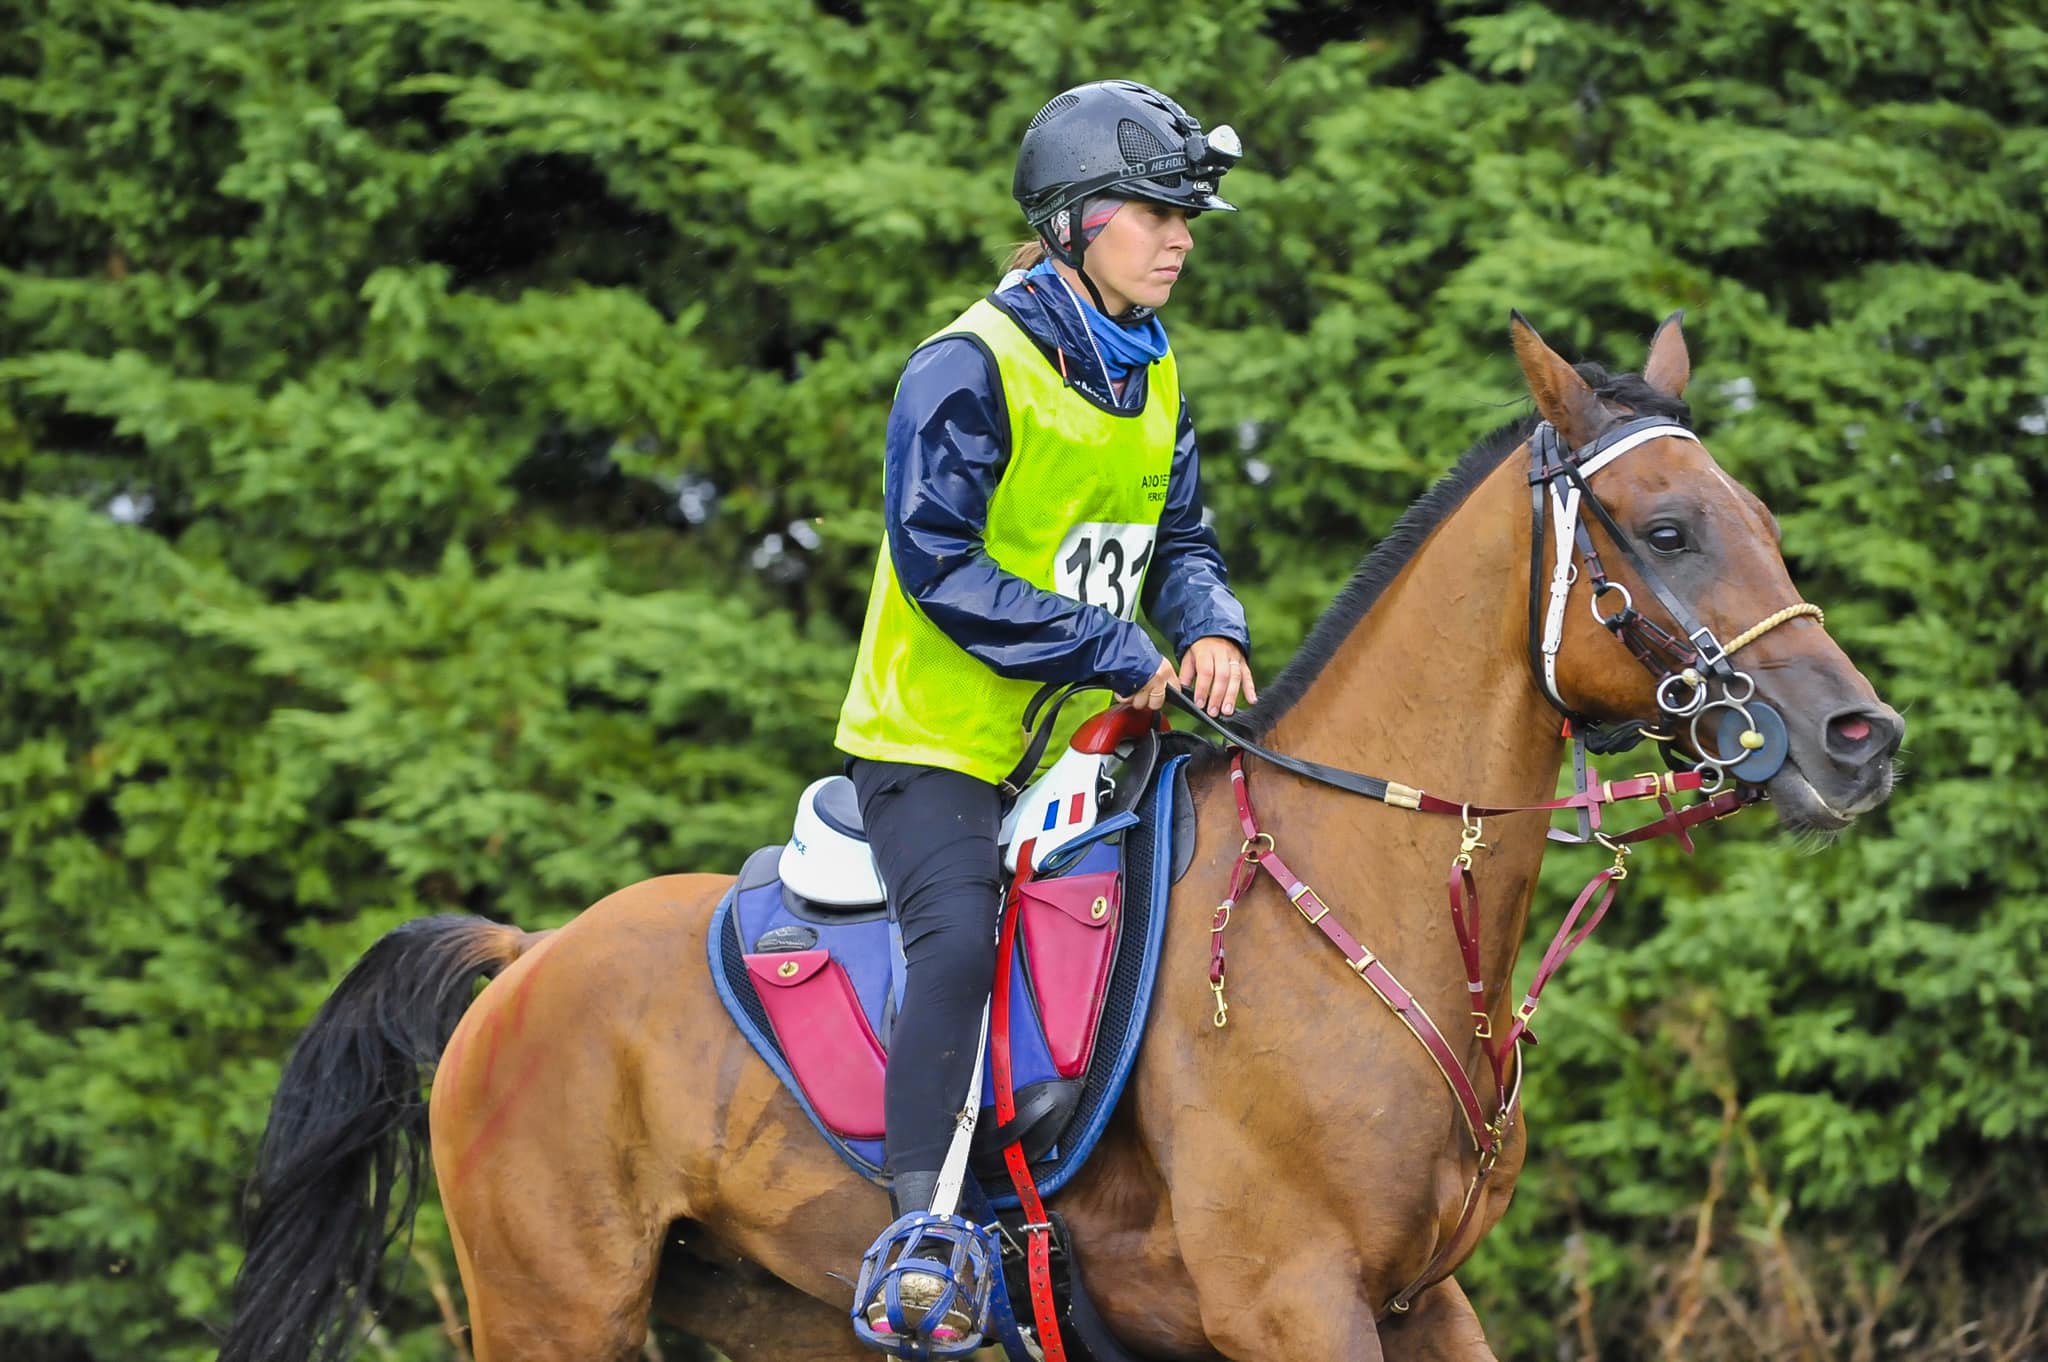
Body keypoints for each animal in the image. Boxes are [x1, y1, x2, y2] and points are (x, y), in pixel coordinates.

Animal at [220, 313, 1902, 1362]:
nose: (1858, 739)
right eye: (1667, 531)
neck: (1346, 910)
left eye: (1761, 519)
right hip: (556, 1304)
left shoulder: (1421, 1302)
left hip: (768, 1308)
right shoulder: (1294, 1301)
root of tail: (527, 958)